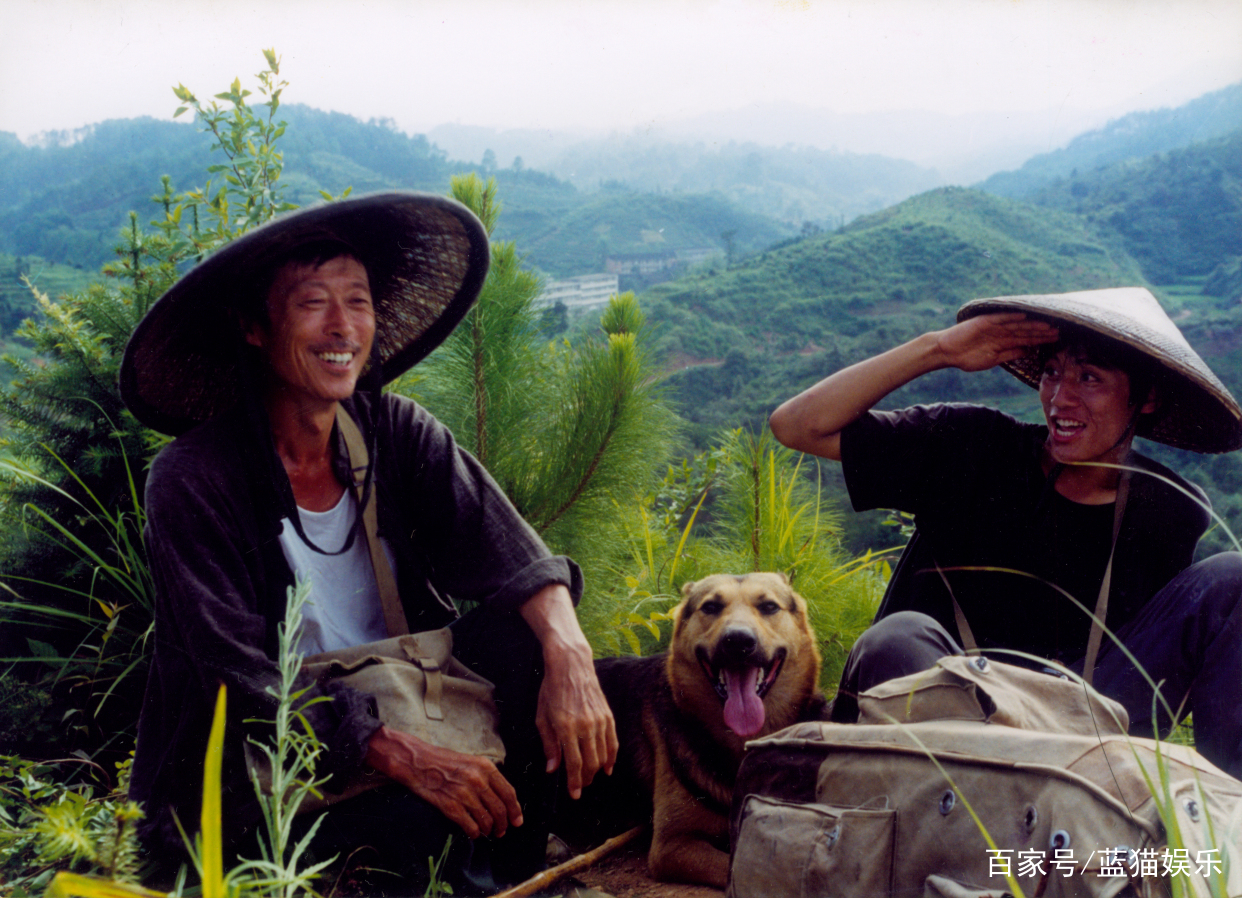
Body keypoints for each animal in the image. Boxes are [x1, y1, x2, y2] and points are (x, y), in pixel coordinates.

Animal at [588, 571, 829, 889]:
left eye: (768, 607)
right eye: (711, 607)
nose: (738, 641)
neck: (743, 741)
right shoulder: (672, 846)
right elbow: (737, 868)